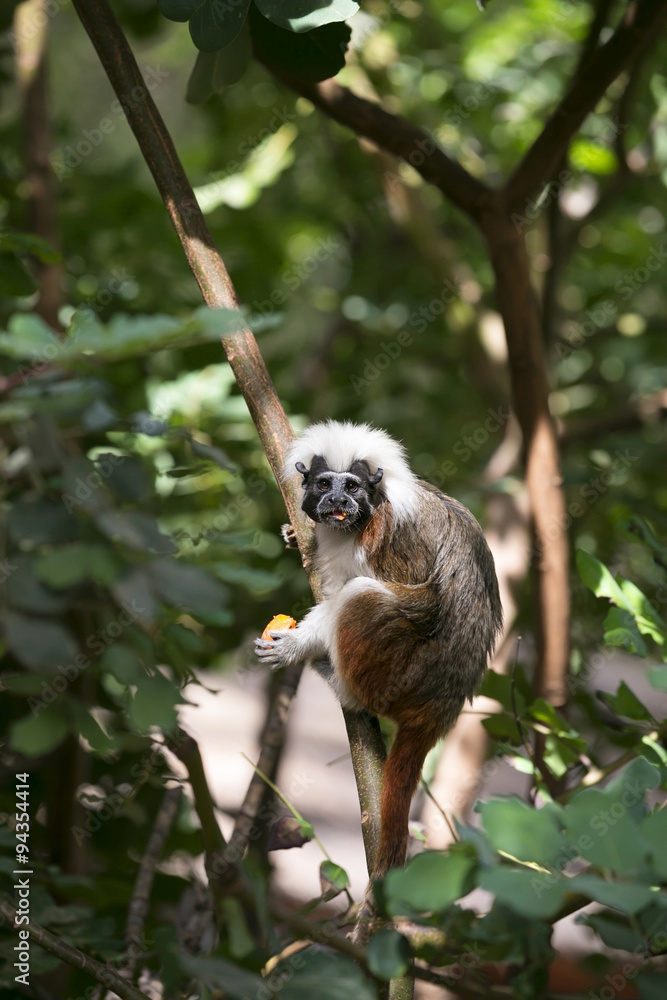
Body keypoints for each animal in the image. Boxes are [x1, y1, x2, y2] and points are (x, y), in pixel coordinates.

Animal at [255, 420, 502, 880]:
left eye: (352, 487)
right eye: (324, 483)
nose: (337, 502)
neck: (349, 528)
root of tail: (444, 704)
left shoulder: (392, 534)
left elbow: (413, 598)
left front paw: (297, 644)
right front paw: (294, 534)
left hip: (401, 672)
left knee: (364, 596)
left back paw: (341, 685)